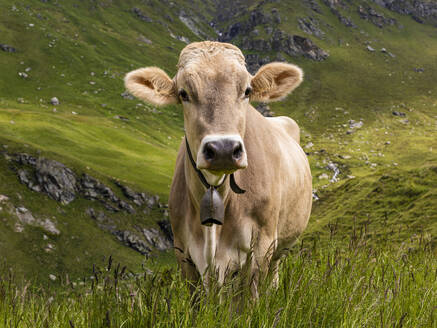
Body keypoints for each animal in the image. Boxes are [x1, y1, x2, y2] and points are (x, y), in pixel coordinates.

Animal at [124, 41, 312, 294]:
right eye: (184, 93)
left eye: (247, 90)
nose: (223, 149)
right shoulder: (183, 252)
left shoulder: (261, 246)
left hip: (280, 247)